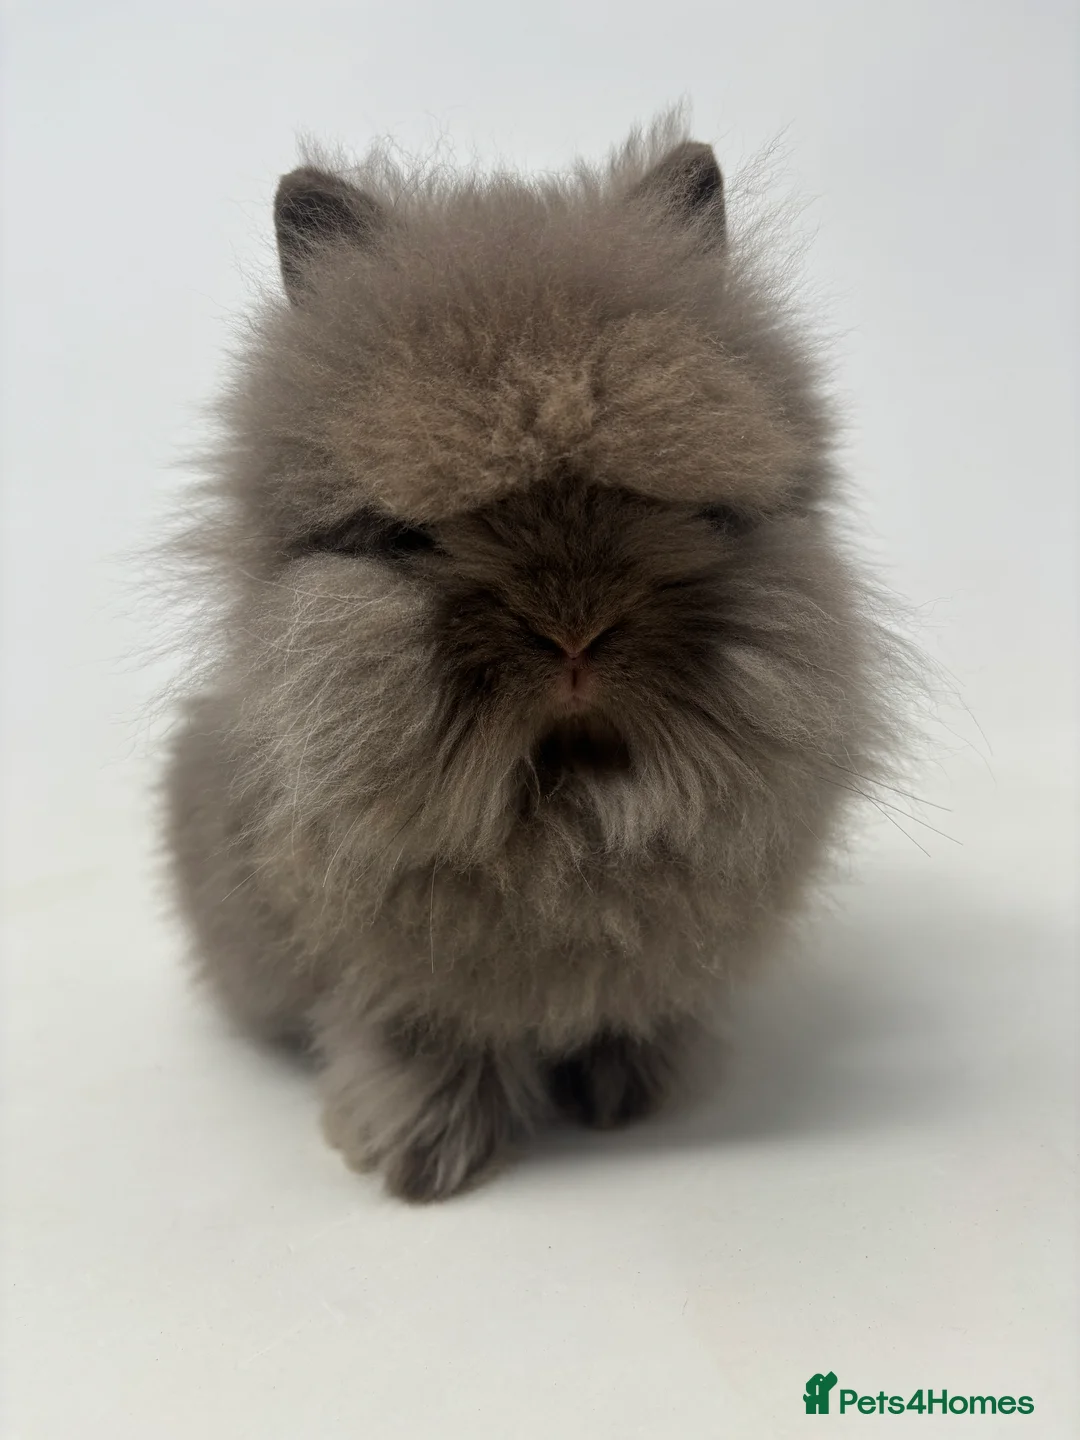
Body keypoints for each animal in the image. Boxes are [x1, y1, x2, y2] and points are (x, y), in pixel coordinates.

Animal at [163, 114, 906, 1202]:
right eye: (417, 536)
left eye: (664, 506)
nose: (574, 635)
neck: (565, 808)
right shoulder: (397, 982)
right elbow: (422, 1044)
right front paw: (421, 1161)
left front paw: (630, 1098)